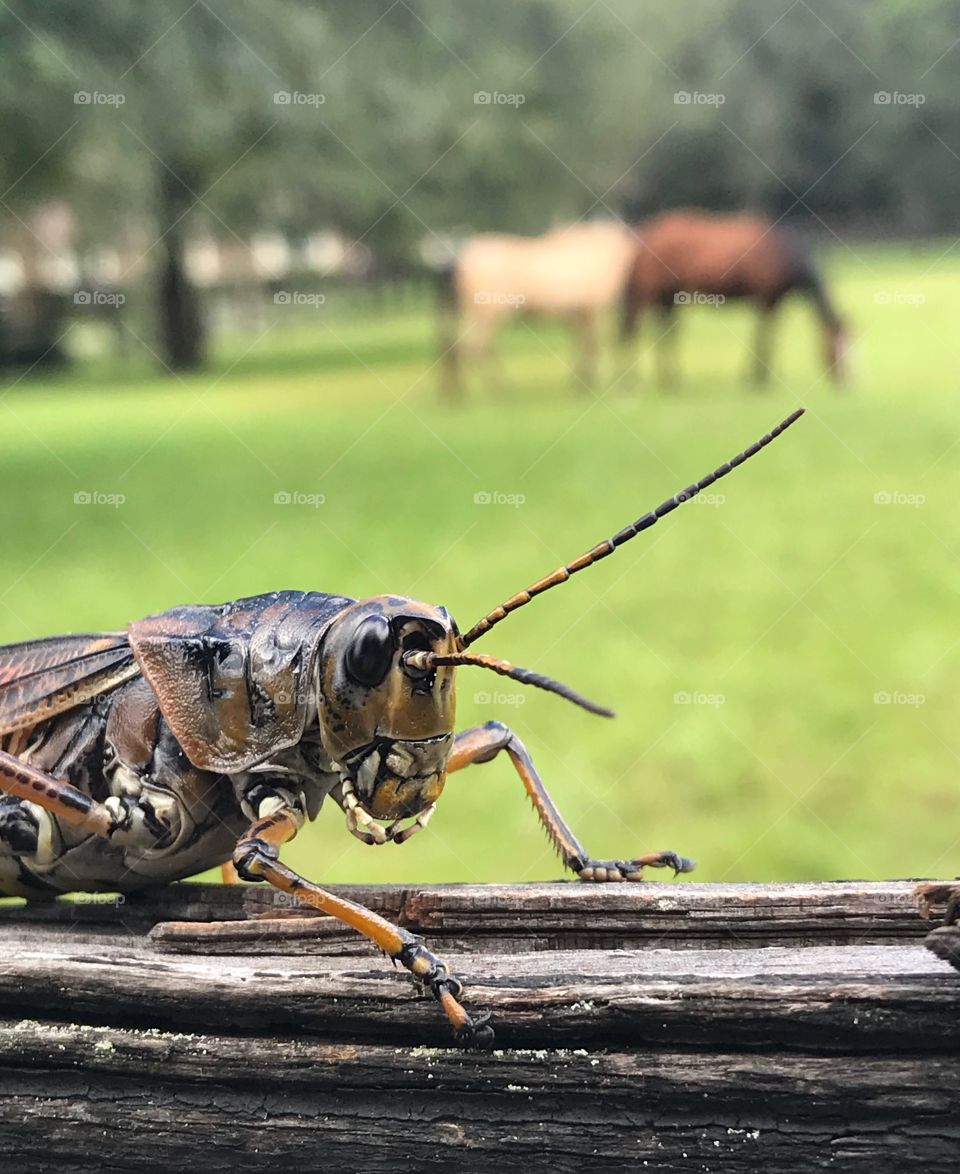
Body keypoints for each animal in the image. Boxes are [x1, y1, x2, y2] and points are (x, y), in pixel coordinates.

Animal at [441, 220, 633, 399]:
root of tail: (463, 262)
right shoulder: (592, 311)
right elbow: (591, 346)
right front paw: (585, 382)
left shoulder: (580, 314)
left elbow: (583, 344)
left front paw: (580, 381)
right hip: (487, 314)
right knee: (474, 347)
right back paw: (489, 388)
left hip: (477, 314)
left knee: (468, 346)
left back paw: (460, 390)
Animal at [619, 213, 844, 387]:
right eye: (835, 345)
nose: (844, 381)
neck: (782, 255)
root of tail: (646, 238)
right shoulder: (765, 299)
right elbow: (763, 337)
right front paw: (757, 379)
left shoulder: (773, 302)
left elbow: (767, 336)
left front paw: (758, 376)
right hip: (649, 293)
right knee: (634, 328)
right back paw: (634, 381)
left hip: (667, 297)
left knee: (663, 331)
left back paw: (669, 379)